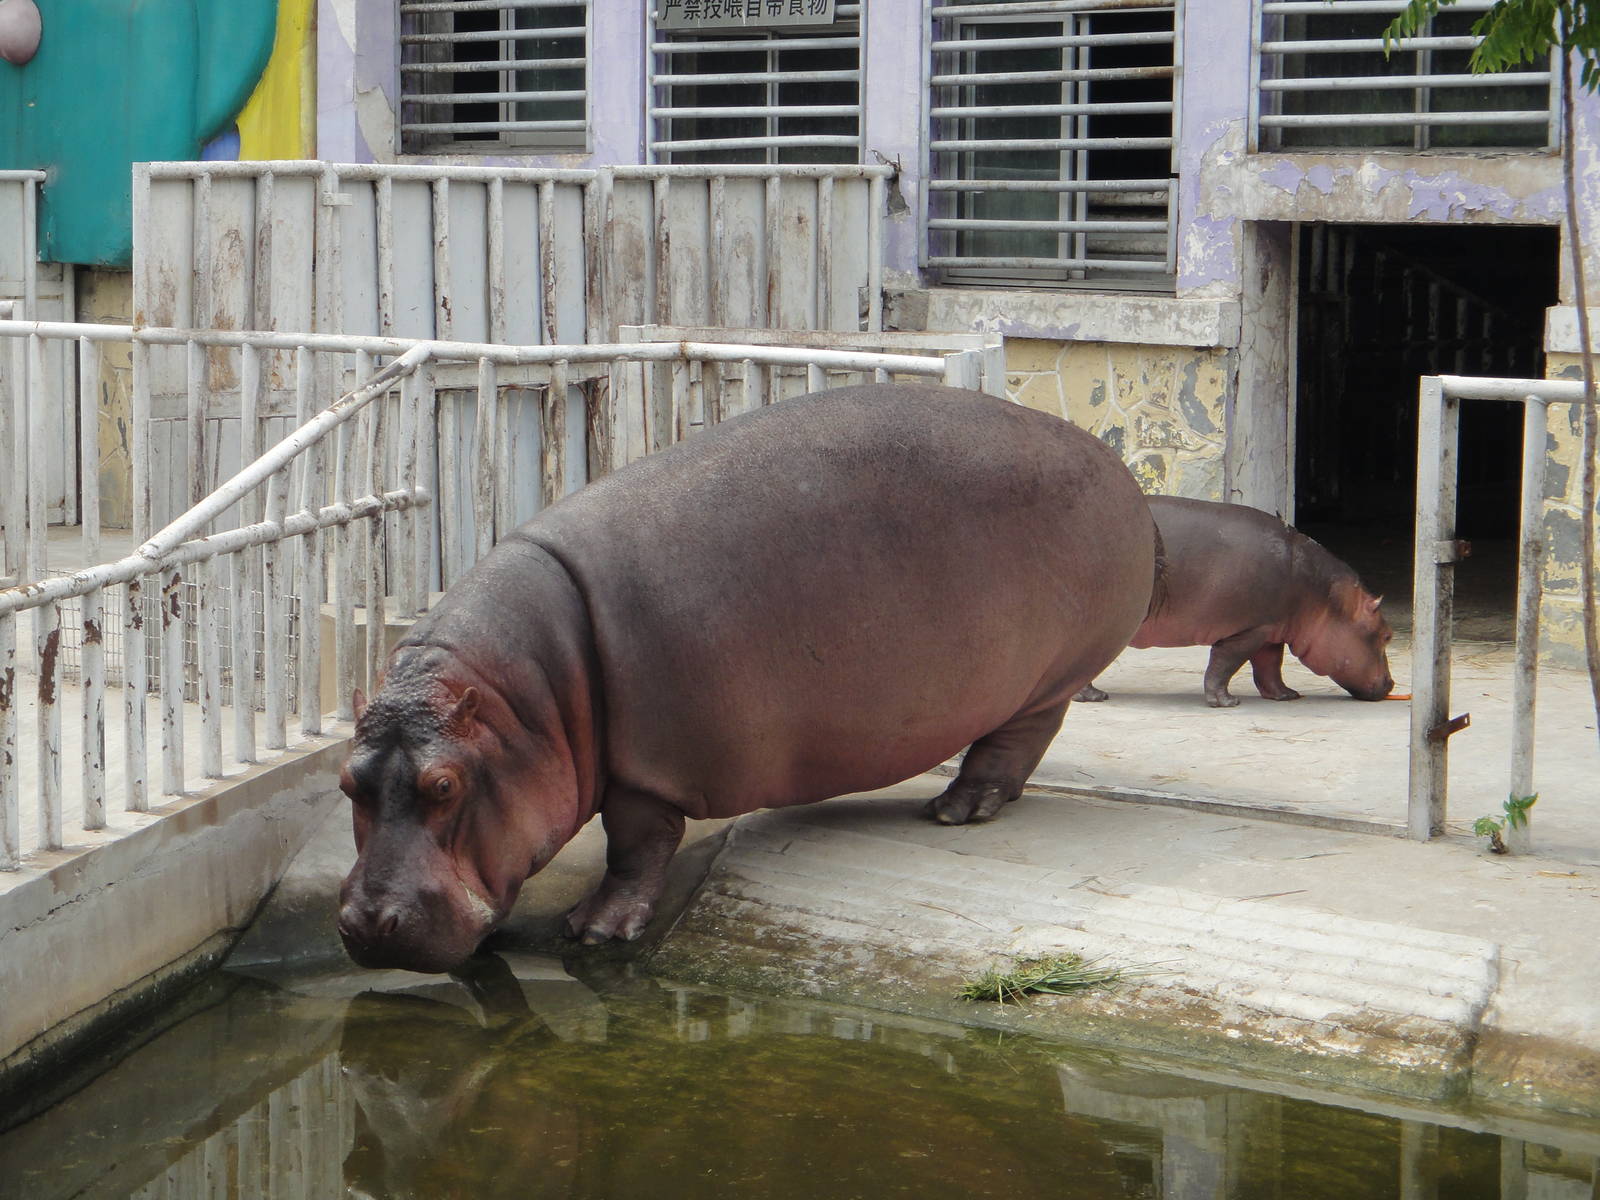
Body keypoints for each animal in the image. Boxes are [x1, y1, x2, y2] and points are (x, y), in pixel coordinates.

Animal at [337, 382, 1157, 972]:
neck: (525, 702)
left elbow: (635, 845)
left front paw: (594, 931)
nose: (368, 922)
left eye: (445, 785)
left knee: (1016, 742)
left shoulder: (646, 771)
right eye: (347, 782)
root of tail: (1118, 468)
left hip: (1051, 675)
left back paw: (959, 809)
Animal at [1075, 496, 1394, 708]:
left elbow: (1270, 667)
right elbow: (1224, 664)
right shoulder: (1246, 631)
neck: (1323, 596)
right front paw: (1227, 702)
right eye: (1387, 636)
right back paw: (1093, 697)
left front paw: (1287, 696)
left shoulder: (1270, 630)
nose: (1392, 684)